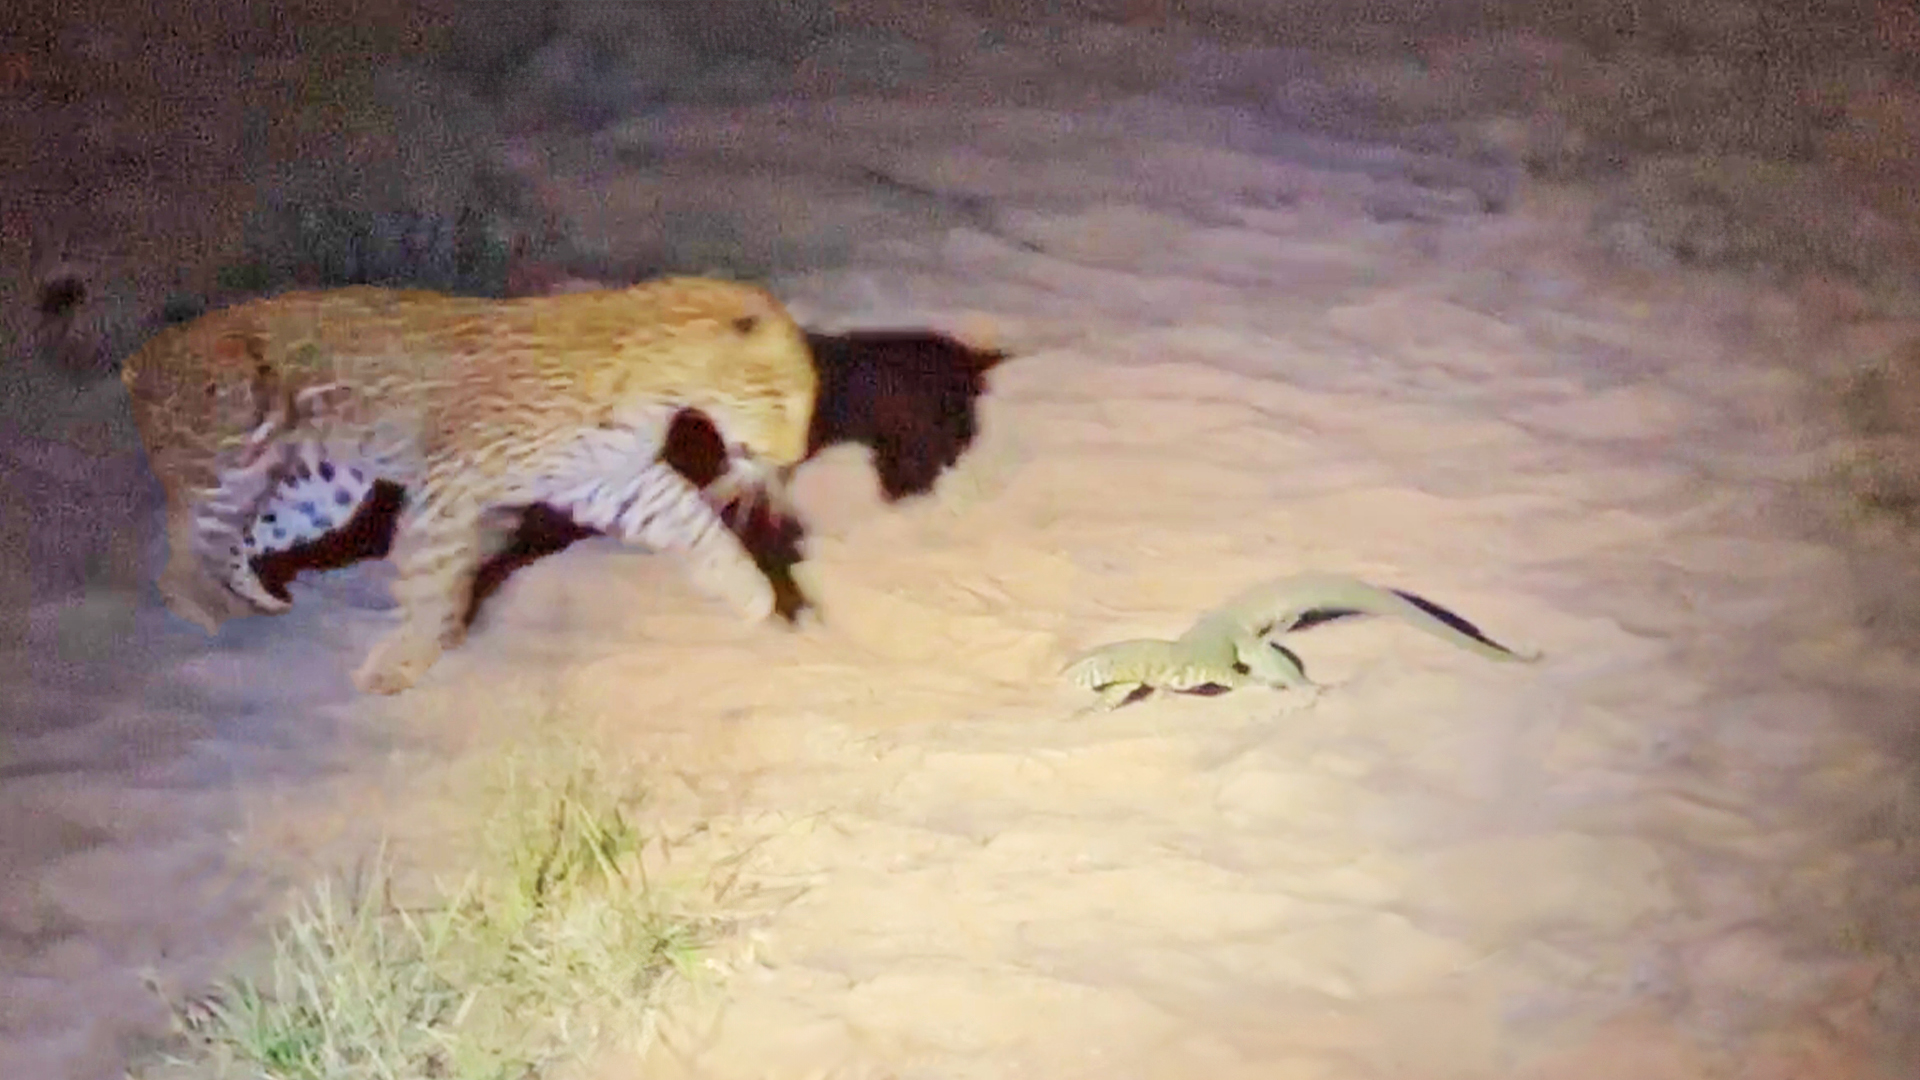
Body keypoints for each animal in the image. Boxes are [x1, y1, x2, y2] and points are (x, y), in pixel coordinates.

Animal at [120, 276, 818, 695]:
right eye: (782, 398)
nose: (793, 458)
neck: (660, 387)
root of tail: (141, 355)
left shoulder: (614, 481)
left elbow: (698, 528)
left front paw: (758, 597)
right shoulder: (450, 486)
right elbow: (432, 580)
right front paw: (406, 660)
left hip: (320, 492)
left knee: (239, 548)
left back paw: (263, 610)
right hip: (229, 459)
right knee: (182, 561)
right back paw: (218, 624)